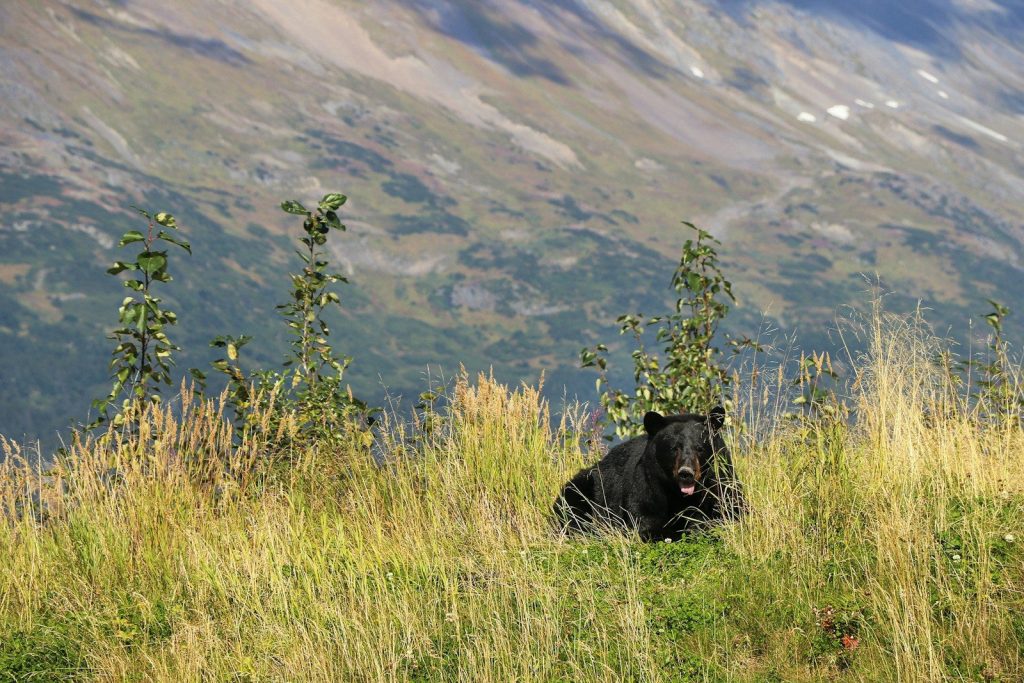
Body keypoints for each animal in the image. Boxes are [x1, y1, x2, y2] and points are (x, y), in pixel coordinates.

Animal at [554, 407, 743, 541]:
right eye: (674, 448)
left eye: (700, 448)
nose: (686, 473)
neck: (679, 495)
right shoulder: (646, 487)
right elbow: (647, 522)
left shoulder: (722, 485)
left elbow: (728, 512)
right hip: (584, 487)